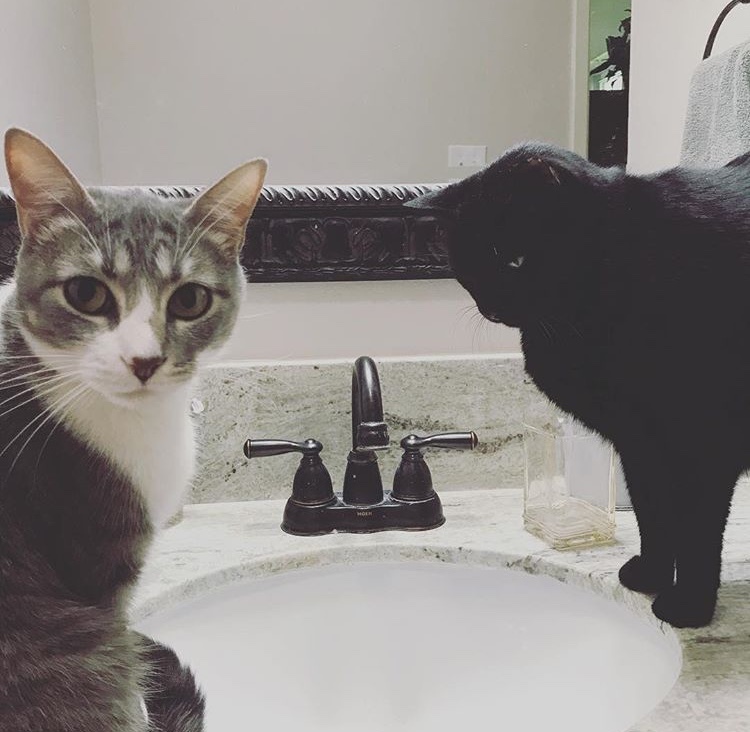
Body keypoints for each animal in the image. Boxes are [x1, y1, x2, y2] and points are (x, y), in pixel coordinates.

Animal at [406, 142, 750, 629]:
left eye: (515, 259)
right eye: (467, 265)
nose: (492, 308)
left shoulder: (702, 441)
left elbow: (696, 532)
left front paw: (689, 605)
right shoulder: (638, 444)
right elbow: (652, 513)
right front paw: (650, 574)